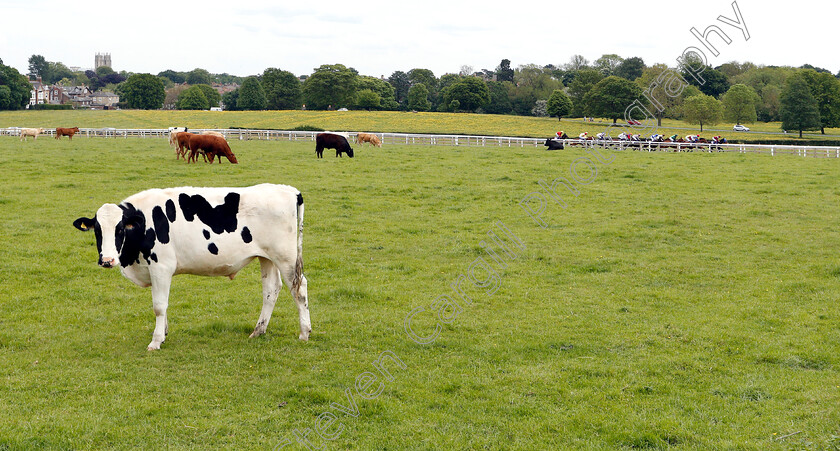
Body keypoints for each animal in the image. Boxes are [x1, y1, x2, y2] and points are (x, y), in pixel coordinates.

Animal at [74, 185, 312, 352]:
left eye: (121, 229)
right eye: (97, 230)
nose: (107, 259)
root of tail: (289, 190)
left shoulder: (161, 266)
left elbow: (159, 306)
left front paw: (156, 341)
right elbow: (163, 305)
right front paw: (164, 333)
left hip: (286, 257)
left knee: (299, 289)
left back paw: (304, 333)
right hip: (267, 257)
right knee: (271, 291)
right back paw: (258, 331)